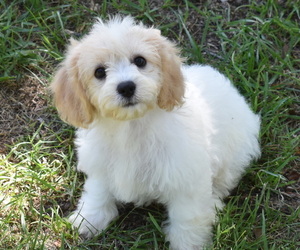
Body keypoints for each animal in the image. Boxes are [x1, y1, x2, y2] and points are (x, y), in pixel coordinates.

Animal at [49, 16, 260, 249]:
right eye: (99, 72)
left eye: (140, 61)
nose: (126, 87)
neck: (132, 126)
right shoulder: (101, 167)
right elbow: (98, 192)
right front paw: (89, 220)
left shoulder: (186, 182)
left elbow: (187, 219)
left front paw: (188, 244)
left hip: (234, 154)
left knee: (224, 181)